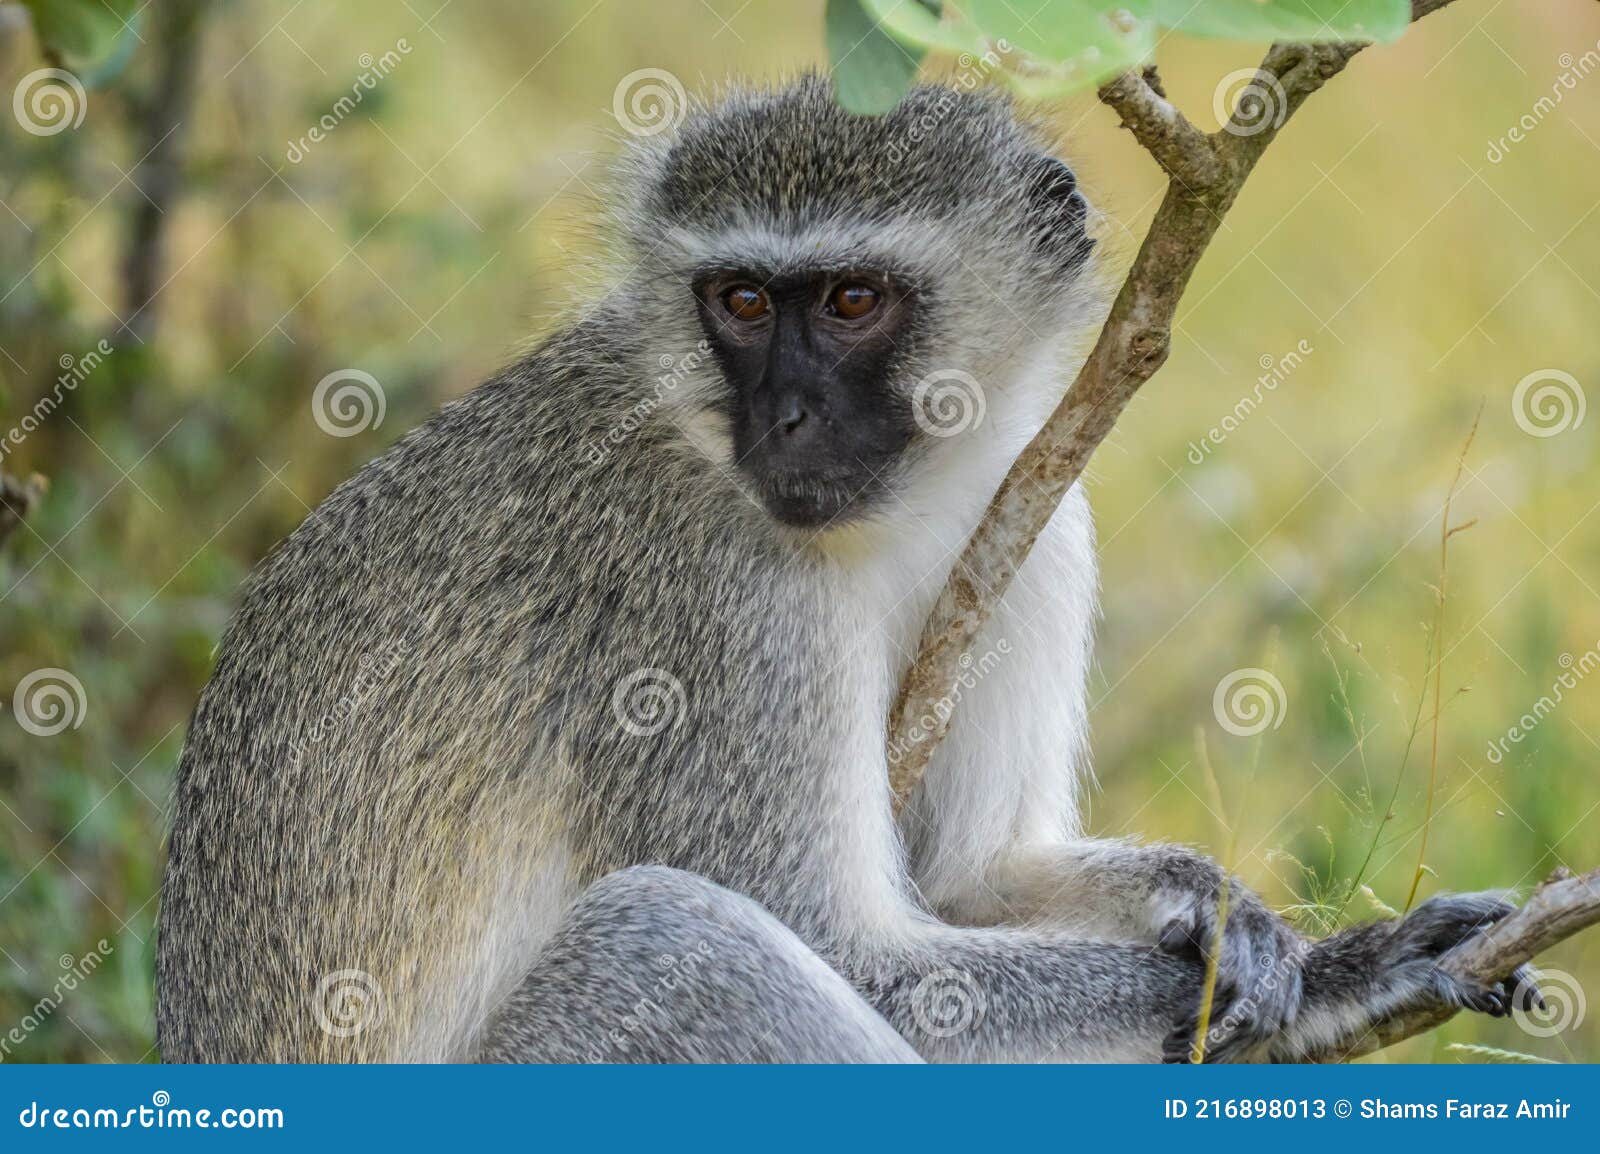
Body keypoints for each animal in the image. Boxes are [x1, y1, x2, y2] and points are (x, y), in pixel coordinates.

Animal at [156, 76, 1529, 1056]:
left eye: (854, 301)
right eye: (743, 303)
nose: (785, 422)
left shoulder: (1035, 522)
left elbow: (972, 875)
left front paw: (1215, 900)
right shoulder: (708, 599)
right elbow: (854, 949)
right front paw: (1348, 971)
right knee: (672, 942)